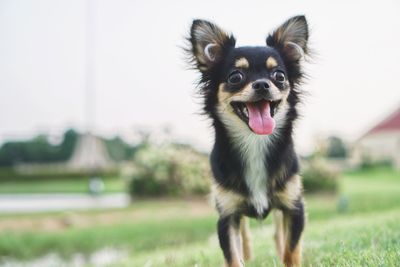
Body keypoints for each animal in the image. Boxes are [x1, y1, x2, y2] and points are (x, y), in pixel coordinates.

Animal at [186, 15, 310, 266]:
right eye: (236, 77)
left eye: (279, 76)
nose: (262, 84)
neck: (255, 142)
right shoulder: (227, 215)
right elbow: (233, 256)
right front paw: (242, 255)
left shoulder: (294, 207)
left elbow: (291, 250)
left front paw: (287, 255)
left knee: (279, 232)